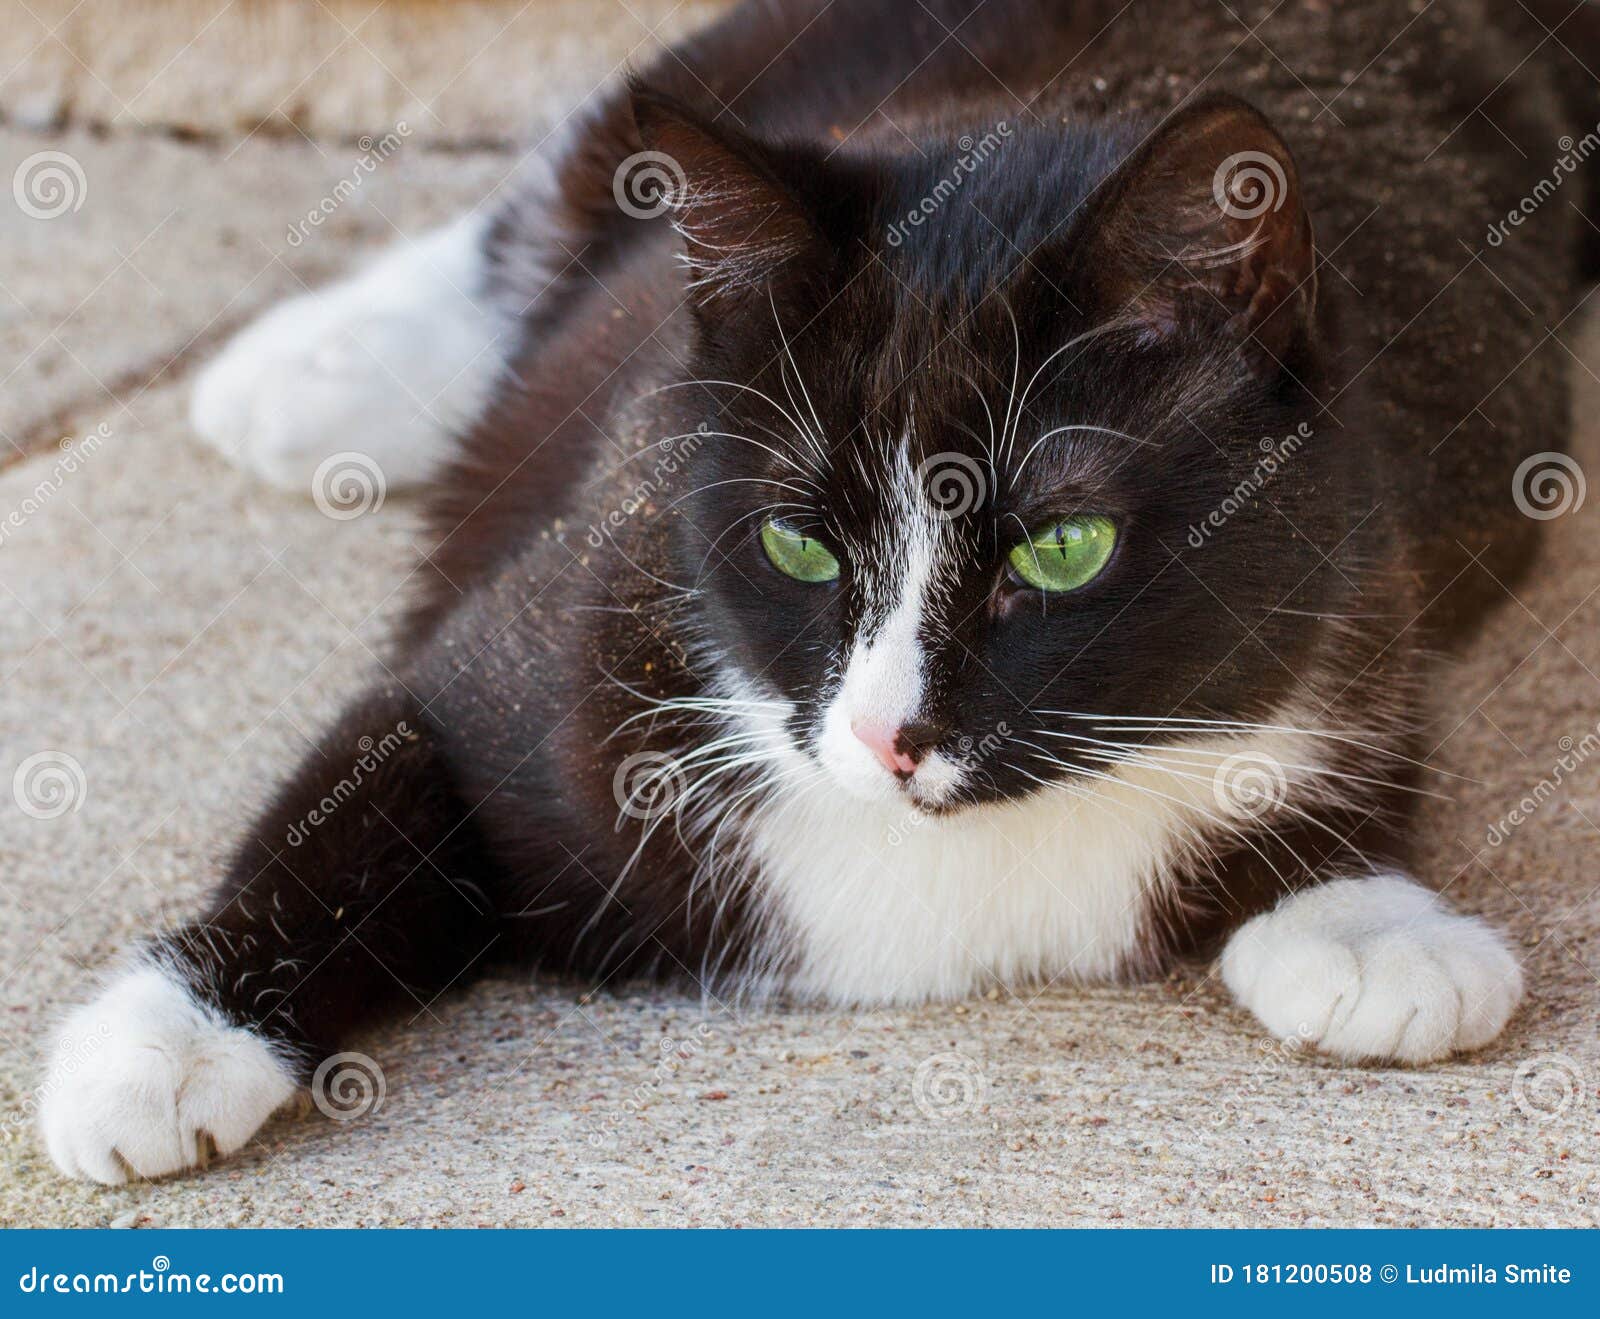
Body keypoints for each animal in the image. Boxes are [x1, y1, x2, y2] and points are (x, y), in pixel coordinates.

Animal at [34, 0, 1587, 1171]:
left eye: (1061, 549)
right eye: (798, 544)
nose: (889, 733)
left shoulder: (1367, 581)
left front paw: (1367, 921)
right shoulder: (556, 634)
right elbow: (366, 784)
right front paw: (161, 1043)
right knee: (564, 186)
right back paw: (307, 369)